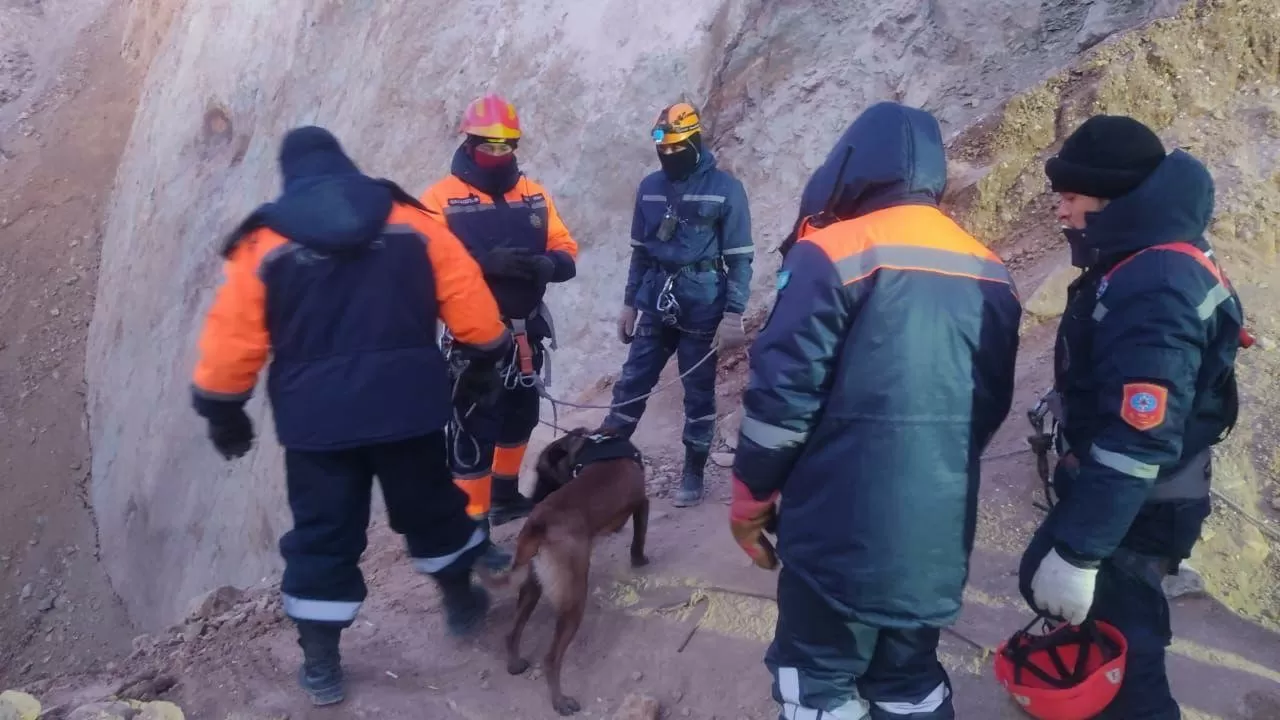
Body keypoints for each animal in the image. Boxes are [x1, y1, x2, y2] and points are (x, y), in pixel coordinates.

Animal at [476, 425, 645, 712]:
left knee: (512, 633)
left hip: (532, 587)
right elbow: (639, 538)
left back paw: (514, 665)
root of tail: (538, 524)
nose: (532, 498)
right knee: (551, 658)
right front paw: (640, 559)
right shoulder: (642, 503)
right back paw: (560, 702)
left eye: (541, 474)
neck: (590, 444)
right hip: (573, 601)